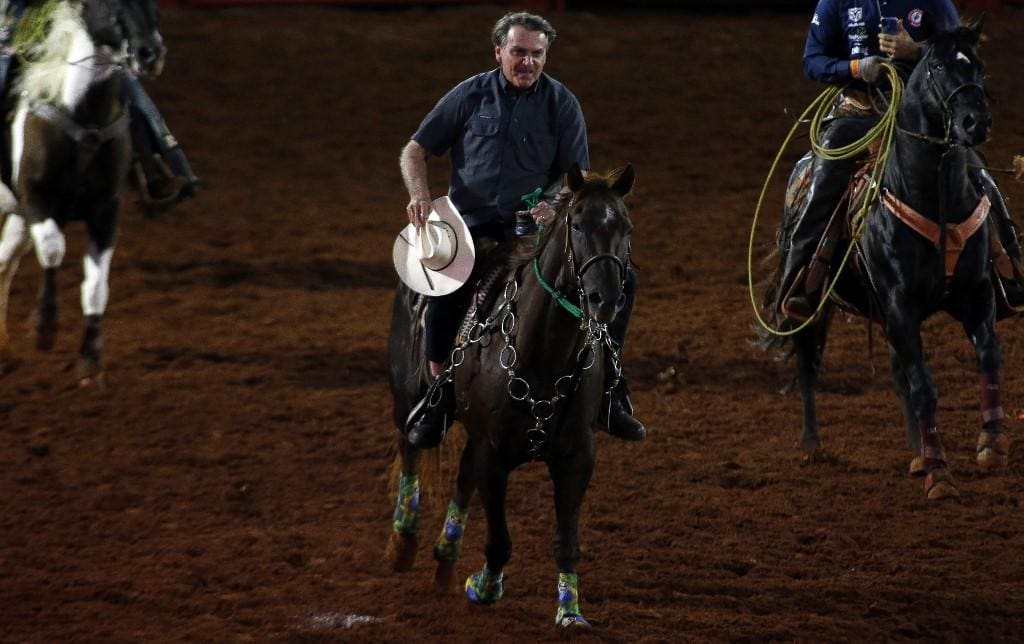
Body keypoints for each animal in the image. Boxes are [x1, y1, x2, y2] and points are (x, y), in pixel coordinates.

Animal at [0, 0, 162, 380]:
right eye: (112, 3)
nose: (150, 53)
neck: (85, 115)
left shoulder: (107, 209)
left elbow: (96, 287)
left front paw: (91, 359)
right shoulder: (35, 198)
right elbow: (53, 248)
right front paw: (44, 327)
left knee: (4, 265)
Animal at [387, 162, 634, 626]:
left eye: (625, 227)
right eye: (577, 223)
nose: (606, 299)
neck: (543, 353)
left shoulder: (578, 457)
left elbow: (565, 540)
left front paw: (569, 610)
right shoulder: (493, 452)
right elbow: (500, 538)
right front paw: (485, 586)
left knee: (462, 473)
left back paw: (447, 553)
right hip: (405, 393)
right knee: (411, 445)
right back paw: (403, 541)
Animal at [770, 23, 1007, 497]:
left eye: (978, 65)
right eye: (938, 67)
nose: (976, 123)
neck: (934, 198)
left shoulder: (975, 293)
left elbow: (988, 354)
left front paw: (990, 440)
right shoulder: (901, 305)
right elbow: (923, 386)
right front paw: (940, 474)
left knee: (898, 372)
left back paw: (916, 450)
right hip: (811, 302)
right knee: (807, 360)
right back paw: (811, 443)